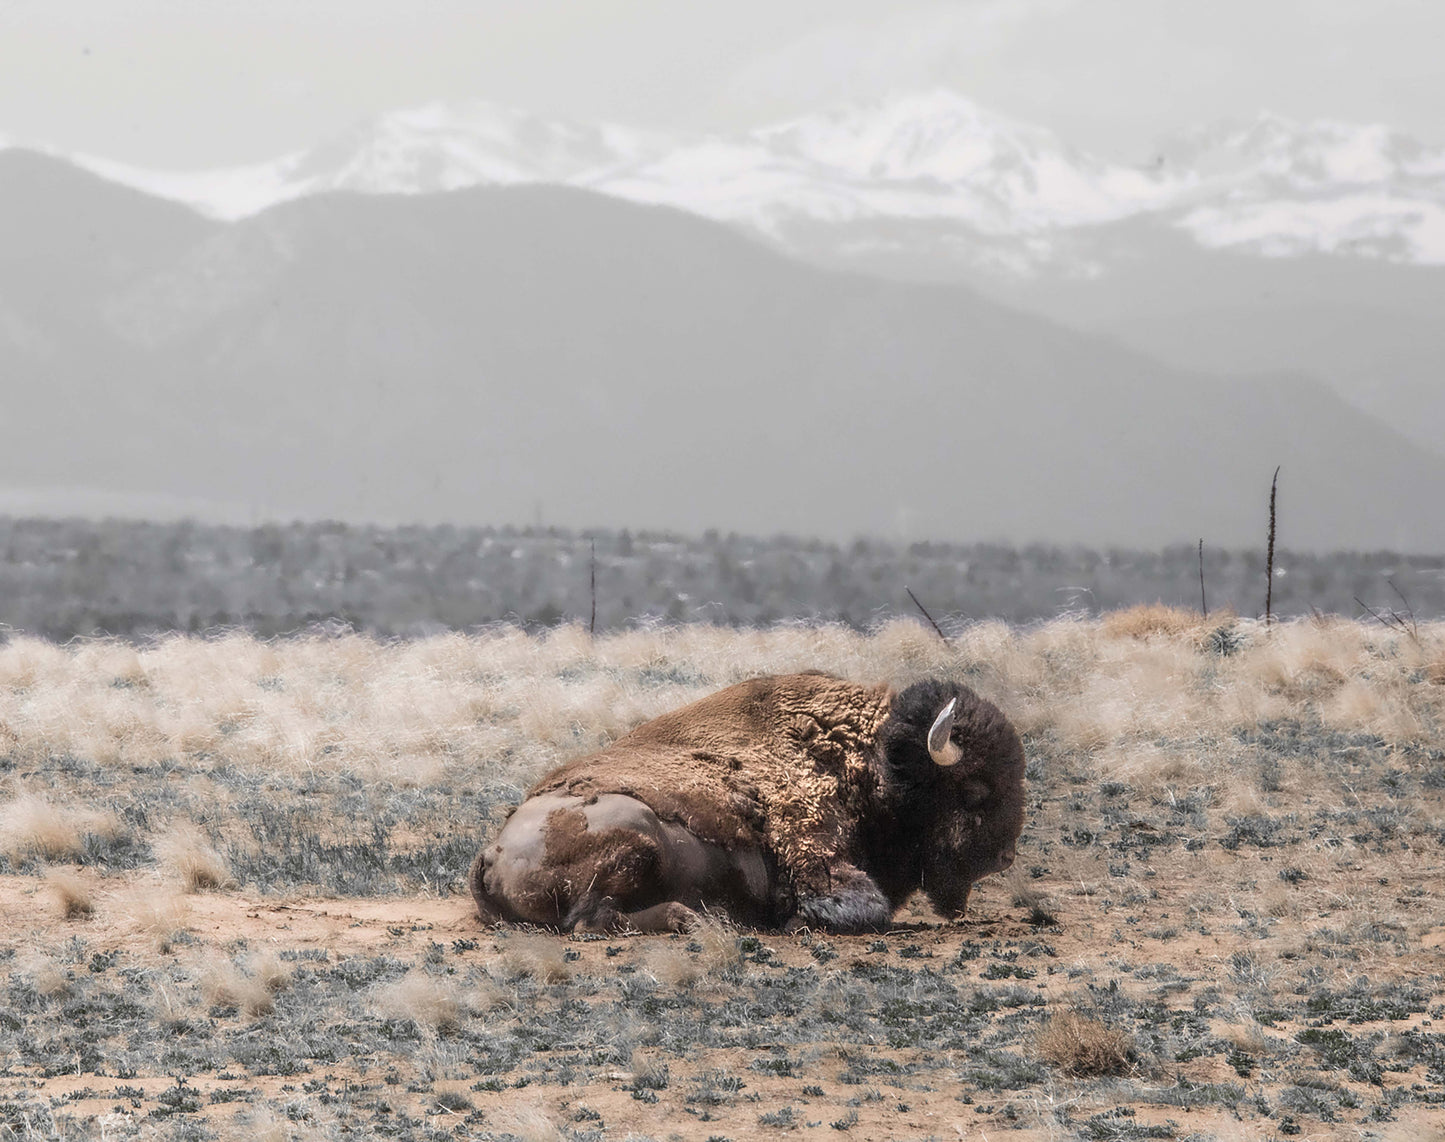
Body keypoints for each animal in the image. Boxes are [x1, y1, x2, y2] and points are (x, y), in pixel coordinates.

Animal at [470, 672, 1025, 933]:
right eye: (976, 790)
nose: (1005, 857)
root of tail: (491, 851)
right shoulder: (816, 857)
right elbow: (862, 907)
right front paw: (793, 920)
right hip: (636, 835)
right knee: (591, 919)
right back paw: (690, 918)